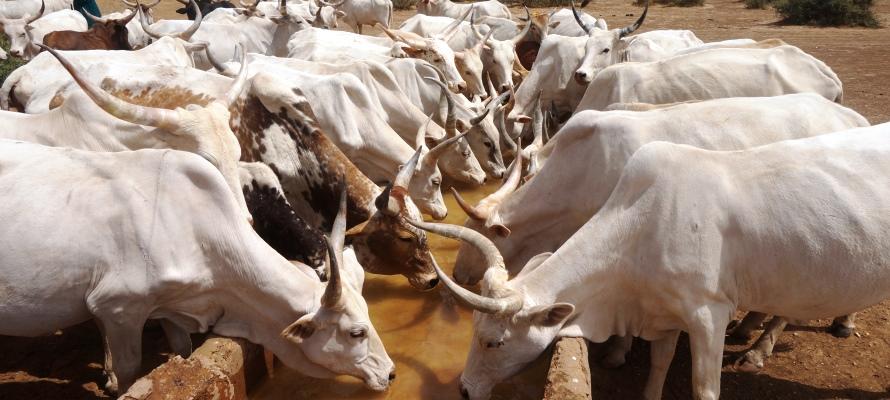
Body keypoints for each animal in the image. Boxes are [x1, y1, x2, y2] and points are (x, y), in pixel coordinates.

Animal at [0, 144, 392, 394]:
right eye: (356, 332)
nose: (390, 374)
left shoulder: (170, 307)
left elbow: (183, 349)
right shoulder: (118, 308)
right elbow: (129, 370)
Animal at [420, 122, 888, 400]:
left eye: (492, 342)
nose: (465, 390)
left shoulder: (708, 315)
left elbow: (704, 388)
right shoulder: (663, 314)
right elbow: (658, 365)